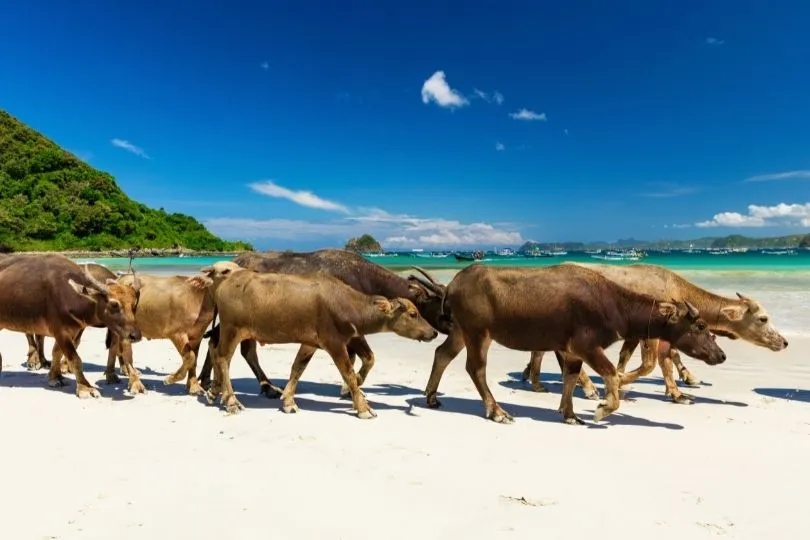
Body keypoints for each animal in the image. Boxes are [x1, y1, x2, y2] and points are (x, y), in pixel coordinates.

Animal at [0, 253, 141, 396]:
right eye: (114, 304)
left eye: (134, 304)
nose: (135, 336)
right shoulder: (61, 332)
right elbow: (75, 359)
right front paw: (85, 387)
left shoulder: (71, 331)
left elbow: (57, 352)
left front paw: (54, 377)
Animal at [187, 264, 438, 420]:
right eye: (413, 313)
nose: (433, 332)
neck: (345, 303)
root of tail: (224, 281)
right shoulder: (334, 343)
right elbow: (348, 372)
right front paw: (363, 407)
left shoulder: (310, 343)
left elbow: (297, 368)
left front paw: (288, 401)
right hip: (232, 329)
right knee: (222, 357)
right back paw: (230, 401)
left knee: (219, 353)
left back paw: (215, 392)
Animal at [422, 264, 724, 424]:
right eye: (700, 326)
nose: (721, 355)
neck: (613, 304)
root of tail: (454, 283)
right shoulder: (586, 346)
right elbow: (611, 374)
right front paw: (602, 409)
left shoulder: (571, 351)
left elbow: (570, 377)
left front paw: (569, 414)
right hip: (478, 333)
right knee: (476, 369)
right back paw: (497, 411)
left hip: (461, 331)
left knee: (442, 353)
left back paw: (432, 397)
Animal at [520, 264, 784, 402]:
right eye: (763, 318)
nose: (783, 342)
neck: (676, 289)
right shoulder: (650, 334)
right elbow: (650, 364)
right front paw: (619, 382)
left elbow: (660, 359)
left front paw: (676, 391)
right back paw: (586, 387)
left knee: (543, 351)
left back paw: (535, 381)